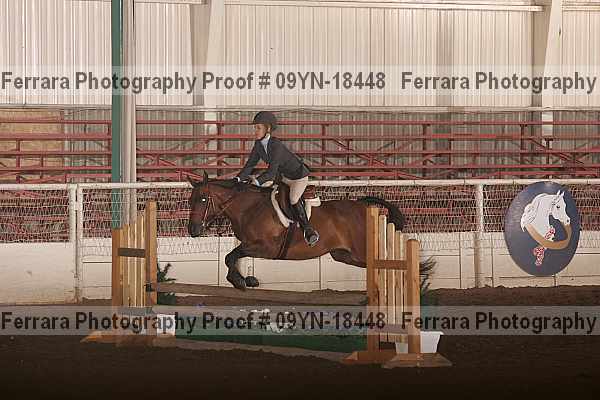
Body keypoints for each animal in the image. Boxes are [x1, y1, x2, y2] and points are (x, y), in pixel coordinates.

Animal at [187, 172, 422, 290]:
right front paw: (246, 280)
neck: (249, 208)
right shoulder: (251, 246)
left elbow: (231, 256)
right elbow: (232, 257)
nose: (192, 230)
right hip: (345, 255)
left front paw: (241, 281)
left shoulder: (266, 248)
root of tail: (362, 206)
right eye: (190, 201)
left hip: (361, 251)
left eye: (203, 199)